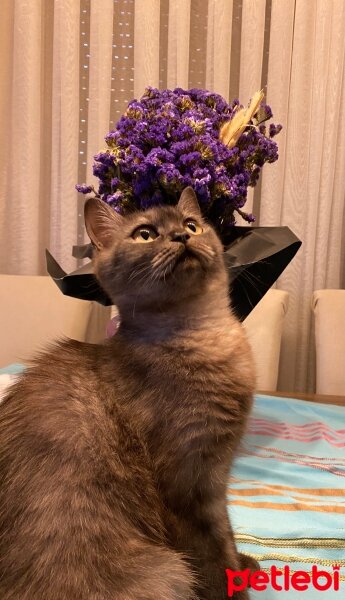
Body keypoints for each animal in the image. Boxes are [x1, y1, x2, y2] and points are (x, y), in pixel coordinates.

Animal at [0, 188, 255, 600]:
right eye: (145, 234)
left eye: (191, 225)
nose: (181, 236)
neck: (203, 333)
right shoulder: (189, 485)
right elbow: (213, 554)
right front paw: (233, 586)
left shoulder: (216, 476)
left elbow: (228, 537)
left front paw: (245, 565)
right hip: (166, 572)